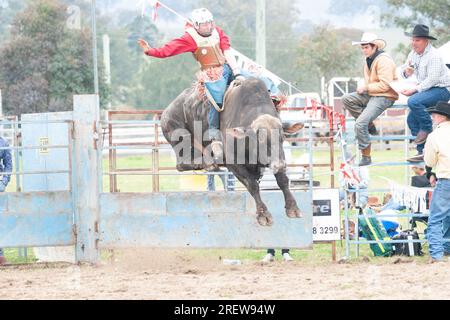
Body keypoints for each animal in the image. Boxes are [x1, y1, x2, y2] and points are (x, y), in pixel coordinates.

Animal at [160, 78, 304, 226]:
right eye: (260, 139)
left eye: (282, 137)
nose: (279, 165)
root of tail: (166, 112)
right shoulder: (233, 163)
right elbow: (252, 185)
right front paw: (263, 214)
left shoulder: (279, 157)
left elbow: (282, 180)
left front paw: (293, 208)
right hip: (180, 139)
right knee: (182, 164)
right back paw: (207, 163)